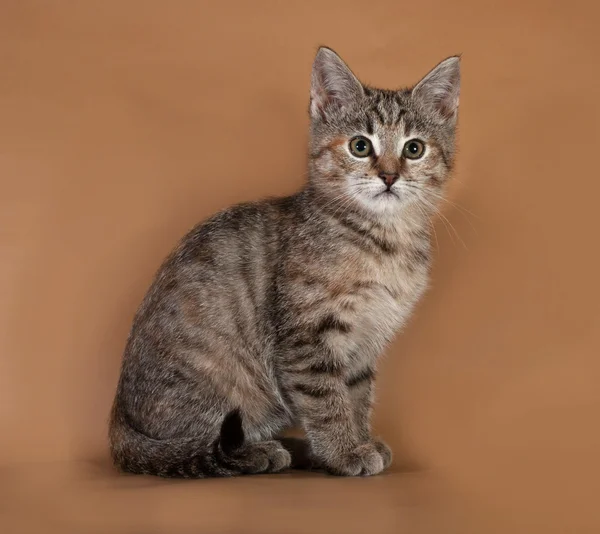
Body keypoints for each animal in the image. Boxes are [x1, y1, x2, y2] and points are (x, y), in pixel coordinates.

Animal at [110, 46, 462, 480]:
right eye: (360, 146)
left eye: (414, 149)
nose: (389, 176)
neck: (383, 240)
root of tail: (118, 422)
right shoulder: (305, 338)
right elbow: (326, 401)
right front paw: (345, 451)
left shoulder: (365, 341)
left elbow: (356, 396)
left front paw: (358, 440)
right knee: (197, 447)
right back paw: (260, 451)